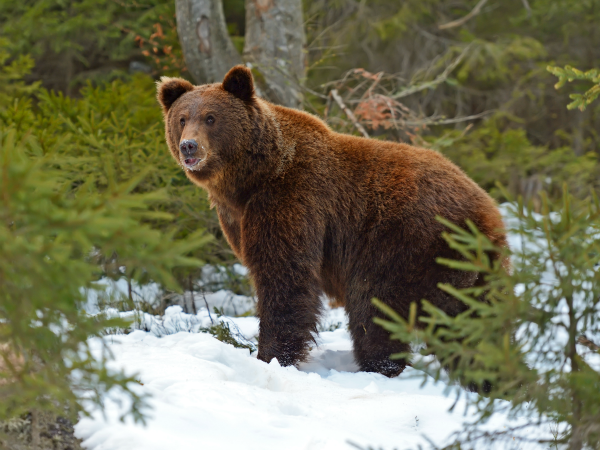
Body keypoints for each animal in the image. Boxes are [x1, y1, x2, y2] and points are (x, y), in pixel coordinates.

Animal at [156, 65, 506, 378]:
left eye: (211, 117)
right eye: (182, 118)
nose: (189, 146)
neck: (249, 181)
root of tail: (487, 210)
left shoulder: (293, 198)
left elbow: (285, 276)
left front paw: (271, 357)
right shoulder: (237, 217)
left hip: (404, 243)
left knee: (375, 307)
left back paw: (379, 367)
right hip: (471, 268)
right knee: (476, 324)